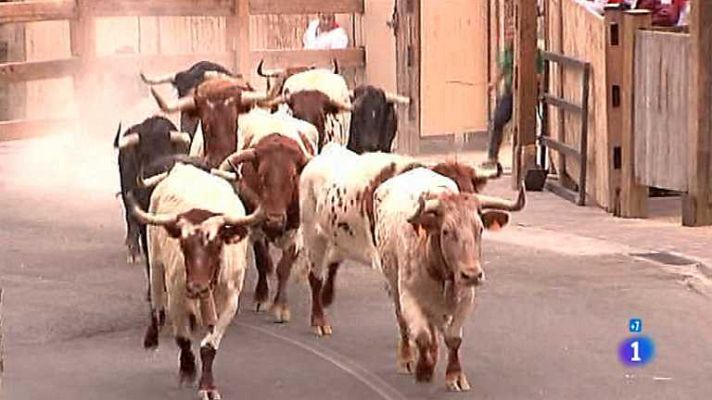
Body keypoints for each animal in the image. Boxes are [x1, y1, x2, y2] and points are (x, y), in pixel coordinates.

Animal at [126, 162, 262, 400]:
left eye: (217, 244)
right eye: (183, 244)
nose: (196, 287)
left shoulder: (230, 301)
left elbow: (209, 346)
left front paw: (208, 386)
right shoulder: (177, 296)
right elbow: (183, 339)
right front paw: (188, 369)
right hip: (155, 259)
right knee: (156, 301)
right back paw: (152, 336)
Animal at [372, 168, 524, 390]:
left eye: (480, 229)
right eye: (446, 231)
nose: (472, 274)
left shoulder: (466, 297)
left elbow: (453, 338)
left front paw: (455, 375)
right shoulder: (408, 294)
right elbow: (421, 336)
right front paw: (423, 369)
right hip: (392, 283)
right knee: (403, 322)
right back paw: (407, 359)